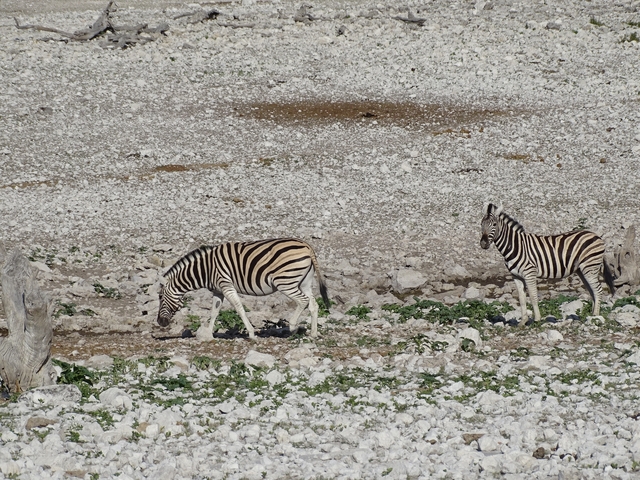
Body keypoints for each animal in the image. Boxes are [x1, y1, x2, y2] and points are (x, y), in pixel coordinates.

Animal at [157, 238, 330, 340]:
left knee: (303, 301)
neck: (205, 270)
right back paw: (313, 333)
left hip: (285, 282)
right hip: (304, 282)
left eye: (160, 297)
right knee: (313, 304)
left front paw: (251, 333)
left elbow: (239, 308)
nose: (160, 322)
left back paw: (293, 327)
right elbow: (214, 312)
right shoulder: (218, 290)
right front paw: (207, 334)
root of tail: (307, 246)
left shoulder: (226, 284)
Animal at [480, 203, 616, 325]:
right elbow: (522, 299)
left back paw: (595, 317)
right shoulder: (516, 276)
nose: (483, 243)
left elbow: (533, 296)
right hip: (582, 270)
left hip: (590, 267)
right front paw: (522, 322)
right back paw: (591, 315)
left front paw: (536, 319)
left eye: (494, 224)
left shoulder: (529, 273)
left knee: (598, 290)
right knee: (592, 291)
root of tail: (596, 235)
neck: (515, 246)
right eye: (481, 224)